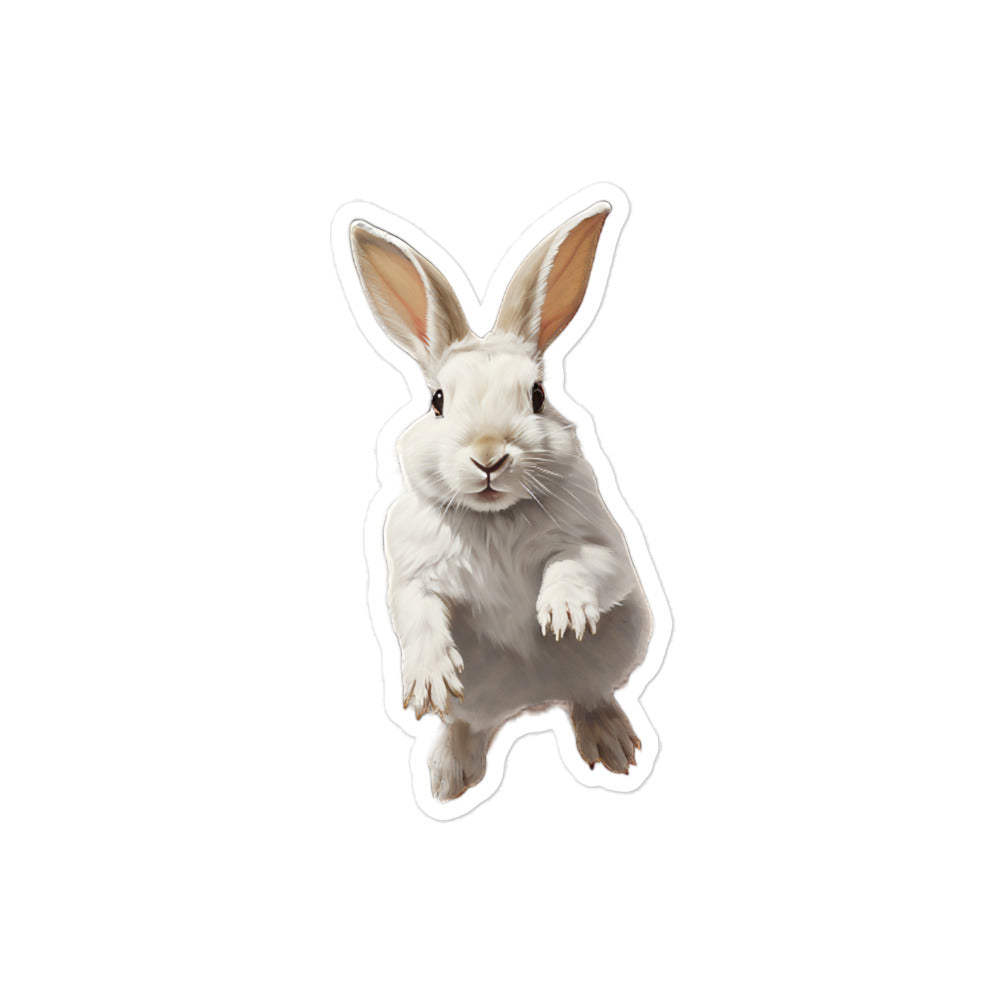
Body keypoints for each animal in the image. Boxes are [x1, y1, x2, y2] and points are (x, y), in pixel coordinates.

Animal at [348, 201, 653, 801]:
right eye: (437, 400)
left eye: (537, 395)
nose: (489, 456)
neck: (493, 518)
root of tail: (529, 701)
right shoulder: (411, 573)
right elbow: (417, 612)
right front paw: (429, 680)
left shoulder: (604, 546)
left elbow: (582, 564)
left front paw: (560, 612)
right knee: (467, 721)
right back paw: (449, 777)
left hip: (616, 645)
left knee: (590, 693)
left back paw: (612, 745)